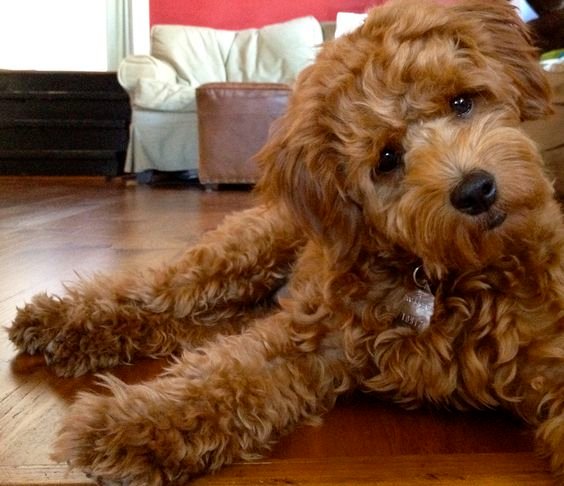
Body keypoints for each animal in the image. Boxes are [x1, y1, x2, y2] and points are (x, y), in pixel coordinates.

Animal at [8, 0, 564, 484]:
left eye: (462, 101)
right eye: (387, 158)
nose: (475, 190)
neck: (446, 275)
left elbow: (225, 365)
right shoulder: (310, 334)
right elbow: (224, 373)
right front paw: (129, 426)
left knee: (198, 326)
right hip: (240, 255)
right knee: (158, 293)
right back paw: (55, 322)